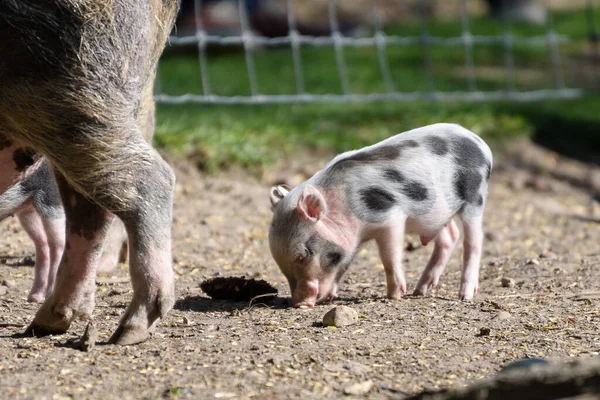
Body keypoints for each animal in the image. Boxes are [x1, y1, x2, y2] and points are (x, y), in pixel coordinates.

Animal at [268, 123, 492, 308]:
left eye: (304, 254)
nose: (299, 303)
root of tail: (480, 142)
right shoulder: (351, 240)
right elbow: (344, 264)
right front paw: (330, 297)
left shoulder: (389, 216)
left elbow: (389, 257)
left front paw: (395, 295)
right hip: (437, 214)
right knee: (450, 236)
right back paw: (420, 291)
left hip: (475, 196)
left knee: (474, 241)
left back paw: (465, 296)